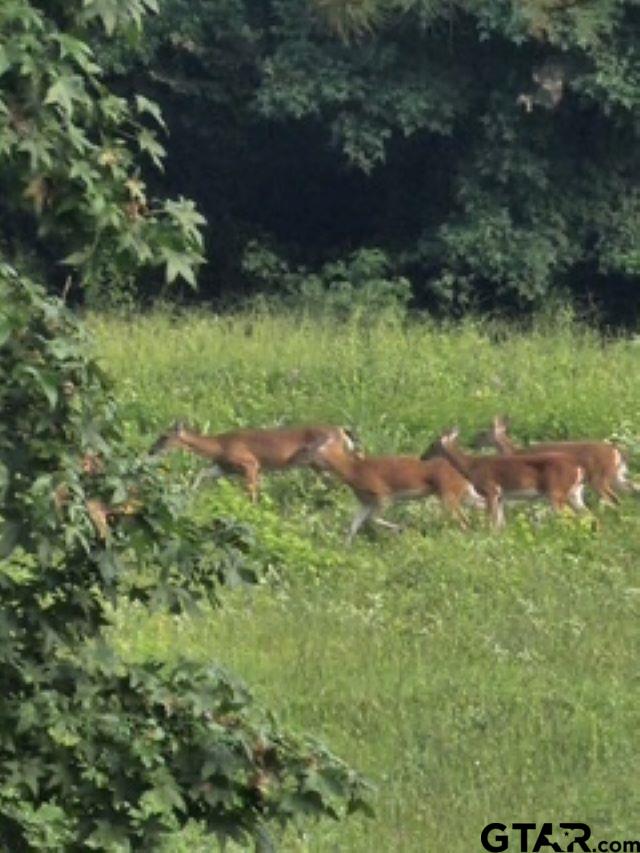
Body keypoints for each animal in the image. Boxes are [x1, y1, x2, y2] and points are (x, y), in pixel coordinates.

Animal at [149, 421, 357, 503]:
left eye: (164, 437)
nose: (150, 451)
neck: (219, 446)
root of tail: (342, 431)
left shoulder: (250, 463)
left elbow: (251, 492)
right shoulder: (225, 468)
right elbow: (201, 473)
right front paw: (190, 494)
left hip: (325, 458)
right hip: (317, 464)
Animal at [292, 432, 485, 543]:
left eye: (306, 449)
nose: (292, 458)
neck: (354, 472)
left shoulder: (383, 495)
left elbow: (372, 519)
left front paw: (399, 528)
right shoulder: (366, 501)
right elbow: (354, 524)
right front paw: (345, 547)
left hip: (448, 494)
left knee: (463, 520)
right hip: (463, 492)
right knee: (481, 505)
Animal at [421, 427, 586, 528]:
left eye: (432, 444)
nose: (422, 457)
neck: (472, 466)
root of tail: (578, 469)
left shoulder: (490, 490)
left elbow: (491, 521)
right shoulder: (500, 496)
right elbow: (500, 523)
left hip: (556, 492)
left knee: (566, 517)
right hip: (573, 493)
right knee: (587, 514)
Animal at [473, 415, 631, 506]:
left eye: (482, 433)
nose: (473, 442)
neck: (515, 452)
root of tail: (616, 451)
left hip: (599, 478)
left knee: (612, 498)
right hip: (616, 477)